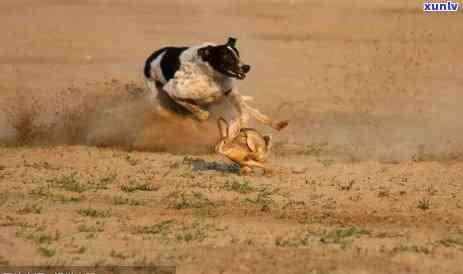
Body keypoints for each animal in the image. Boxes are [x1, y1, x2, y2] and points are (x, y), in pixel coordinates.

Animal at [143, 37, 288, 131]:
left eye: (237, 54)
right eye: (226, 56)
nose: (246, 67)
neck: (211, 75)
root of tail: (152, 57)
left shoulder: (230, 92)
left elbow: (244, 111)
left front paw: (240, 124)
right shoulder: (172, 90)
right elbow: (190, 105)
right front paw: (201, 115)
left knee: (251, 110)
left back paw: (276, 123)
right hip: (154, 93)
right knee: (161, 108)